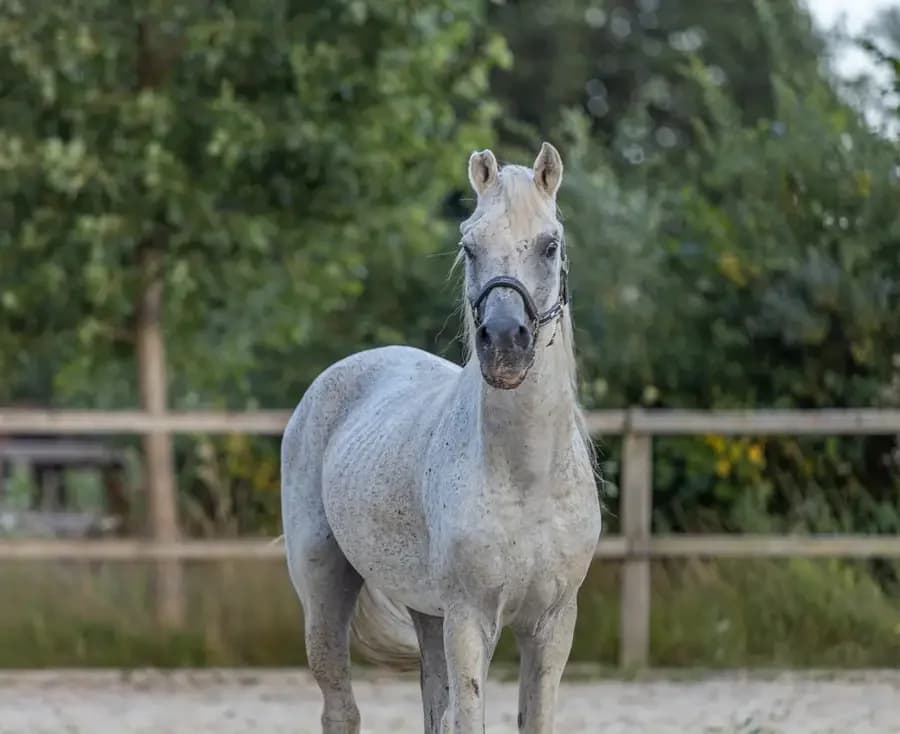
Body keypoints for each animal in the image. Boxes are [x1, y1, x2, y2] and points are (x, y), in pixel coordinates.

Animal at [281, 142, 601, 733]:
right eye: (469, 246)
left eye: (550, 245)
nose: (504, 342)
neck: (525, 478)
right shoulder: (468, 620)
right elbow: (468, 718)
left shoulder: (551, 624)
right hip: (324, 591)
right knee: (340, 708)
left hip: (426, 615)